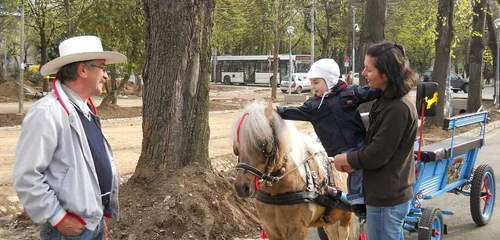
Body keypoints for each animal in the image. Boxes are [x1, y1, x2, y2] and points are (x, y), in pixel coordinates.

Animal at [230, 100, 356, 240]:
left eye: (263, 144)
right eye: (236, 149)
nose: (241, 187)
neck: (276, 192)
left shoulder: (297, 230)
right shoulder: (270, 229)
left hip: (345, 220)